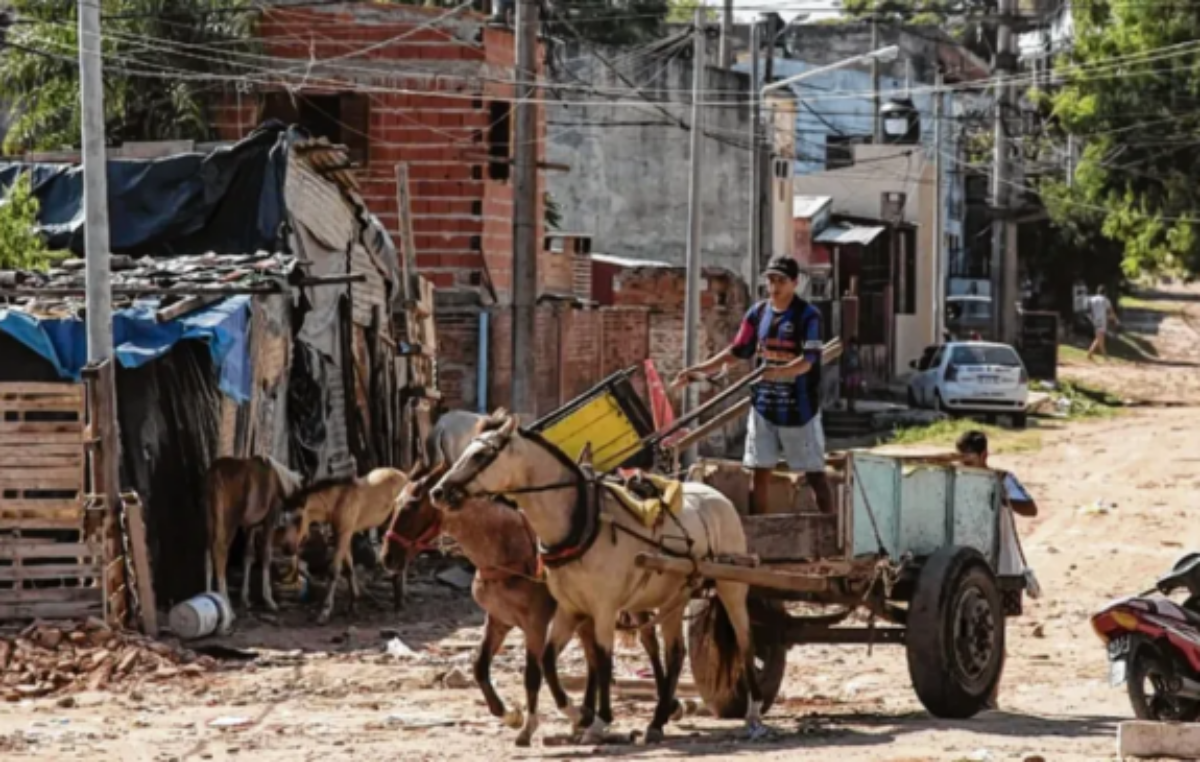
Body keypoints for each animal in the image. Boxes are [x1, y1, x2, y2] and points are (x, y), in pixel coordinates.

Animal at [204, 453, 304, 619]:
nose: (292, 549)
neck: (278, 480)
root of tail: (215, 472)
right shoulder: (269, 519)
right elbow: (266, 554)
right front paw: (269, 600)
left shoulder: (250, 526)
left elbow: (248, 556)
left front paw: (245, 599)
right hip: (229, 522)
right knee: (220, 551)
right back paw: (228, 609)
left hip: (210, 521)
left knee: (208, 554)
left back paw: (208, 597)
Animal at [288, 468, 410, 624]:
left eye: (297, 519)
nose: (289, 547)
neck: (338, 501)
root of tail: (405, 476)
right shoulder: (342, 535)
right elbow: (348, 569)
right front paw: (352, 605)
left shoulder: (344, 534)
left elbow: (333, 570)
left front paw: (325, 612)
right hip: (386, 524)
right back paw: (399, 597)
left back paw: (400, 602)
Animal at [434, 410, 768, 744]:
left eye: (480, 455)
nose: (438, 491)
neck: (582, 523)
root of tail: (717, 496)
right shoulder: (570, 609)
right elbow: (549, 662)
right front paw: (579, 715)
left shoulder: (601, 609)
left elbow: (602, 661)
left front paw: (599, 720)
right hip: (674, 597)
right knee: (674, 653)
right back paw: (658, 720)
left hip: (731, 585)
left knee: (745, 641)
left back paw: (753, 712)